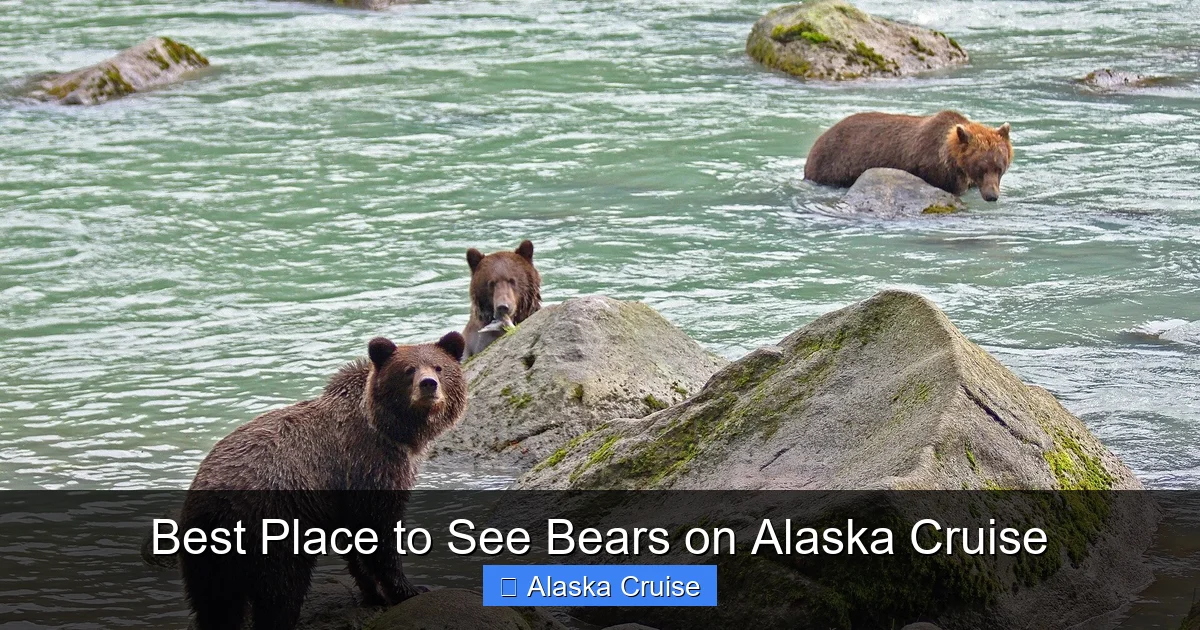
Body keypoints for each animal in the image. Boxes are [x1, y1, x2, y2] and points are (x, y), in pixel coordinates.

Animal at [177, 332, 467, 630]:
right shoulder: (370, 464)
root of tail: (213, 506)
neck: (392, 431)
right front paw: (408, 589)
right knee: (281, 591)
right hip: (272, 526)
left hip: (205, 554)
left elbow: (354, 538)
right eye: (408, 370)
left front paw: (372, 592)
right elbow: (380, 528)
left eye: (439, 368)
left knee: (216, 604)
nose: (428, 384)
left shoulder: (345, 493)